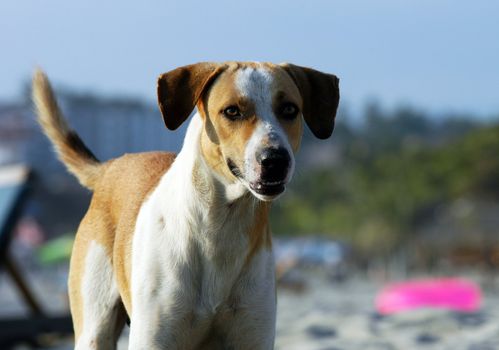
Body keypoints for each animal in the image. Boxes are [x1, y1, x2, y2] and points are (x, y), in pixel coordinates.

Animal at [32, 63, 340, 350]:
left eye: (289, 109)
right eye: (232, 111)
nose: (275, 159)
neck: (220, 226)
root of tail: (111, 166)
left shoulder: (253, 333)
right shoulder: (154, 337)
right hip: (95, 323)